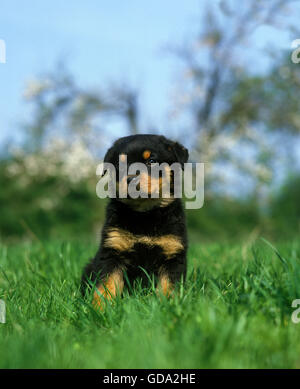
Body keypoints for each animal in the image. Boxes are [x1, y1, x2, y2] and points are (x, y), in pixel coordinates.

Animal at [81, 134, 189, 310]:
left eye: (151, 161)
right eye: (119, 164)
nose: (131, 179)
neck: (144, 215)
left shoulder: (172, 252)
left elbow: (169, 286)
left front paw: (167, 307)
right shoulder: (112, 250)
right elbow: (106, 284)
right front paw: (99, 309)